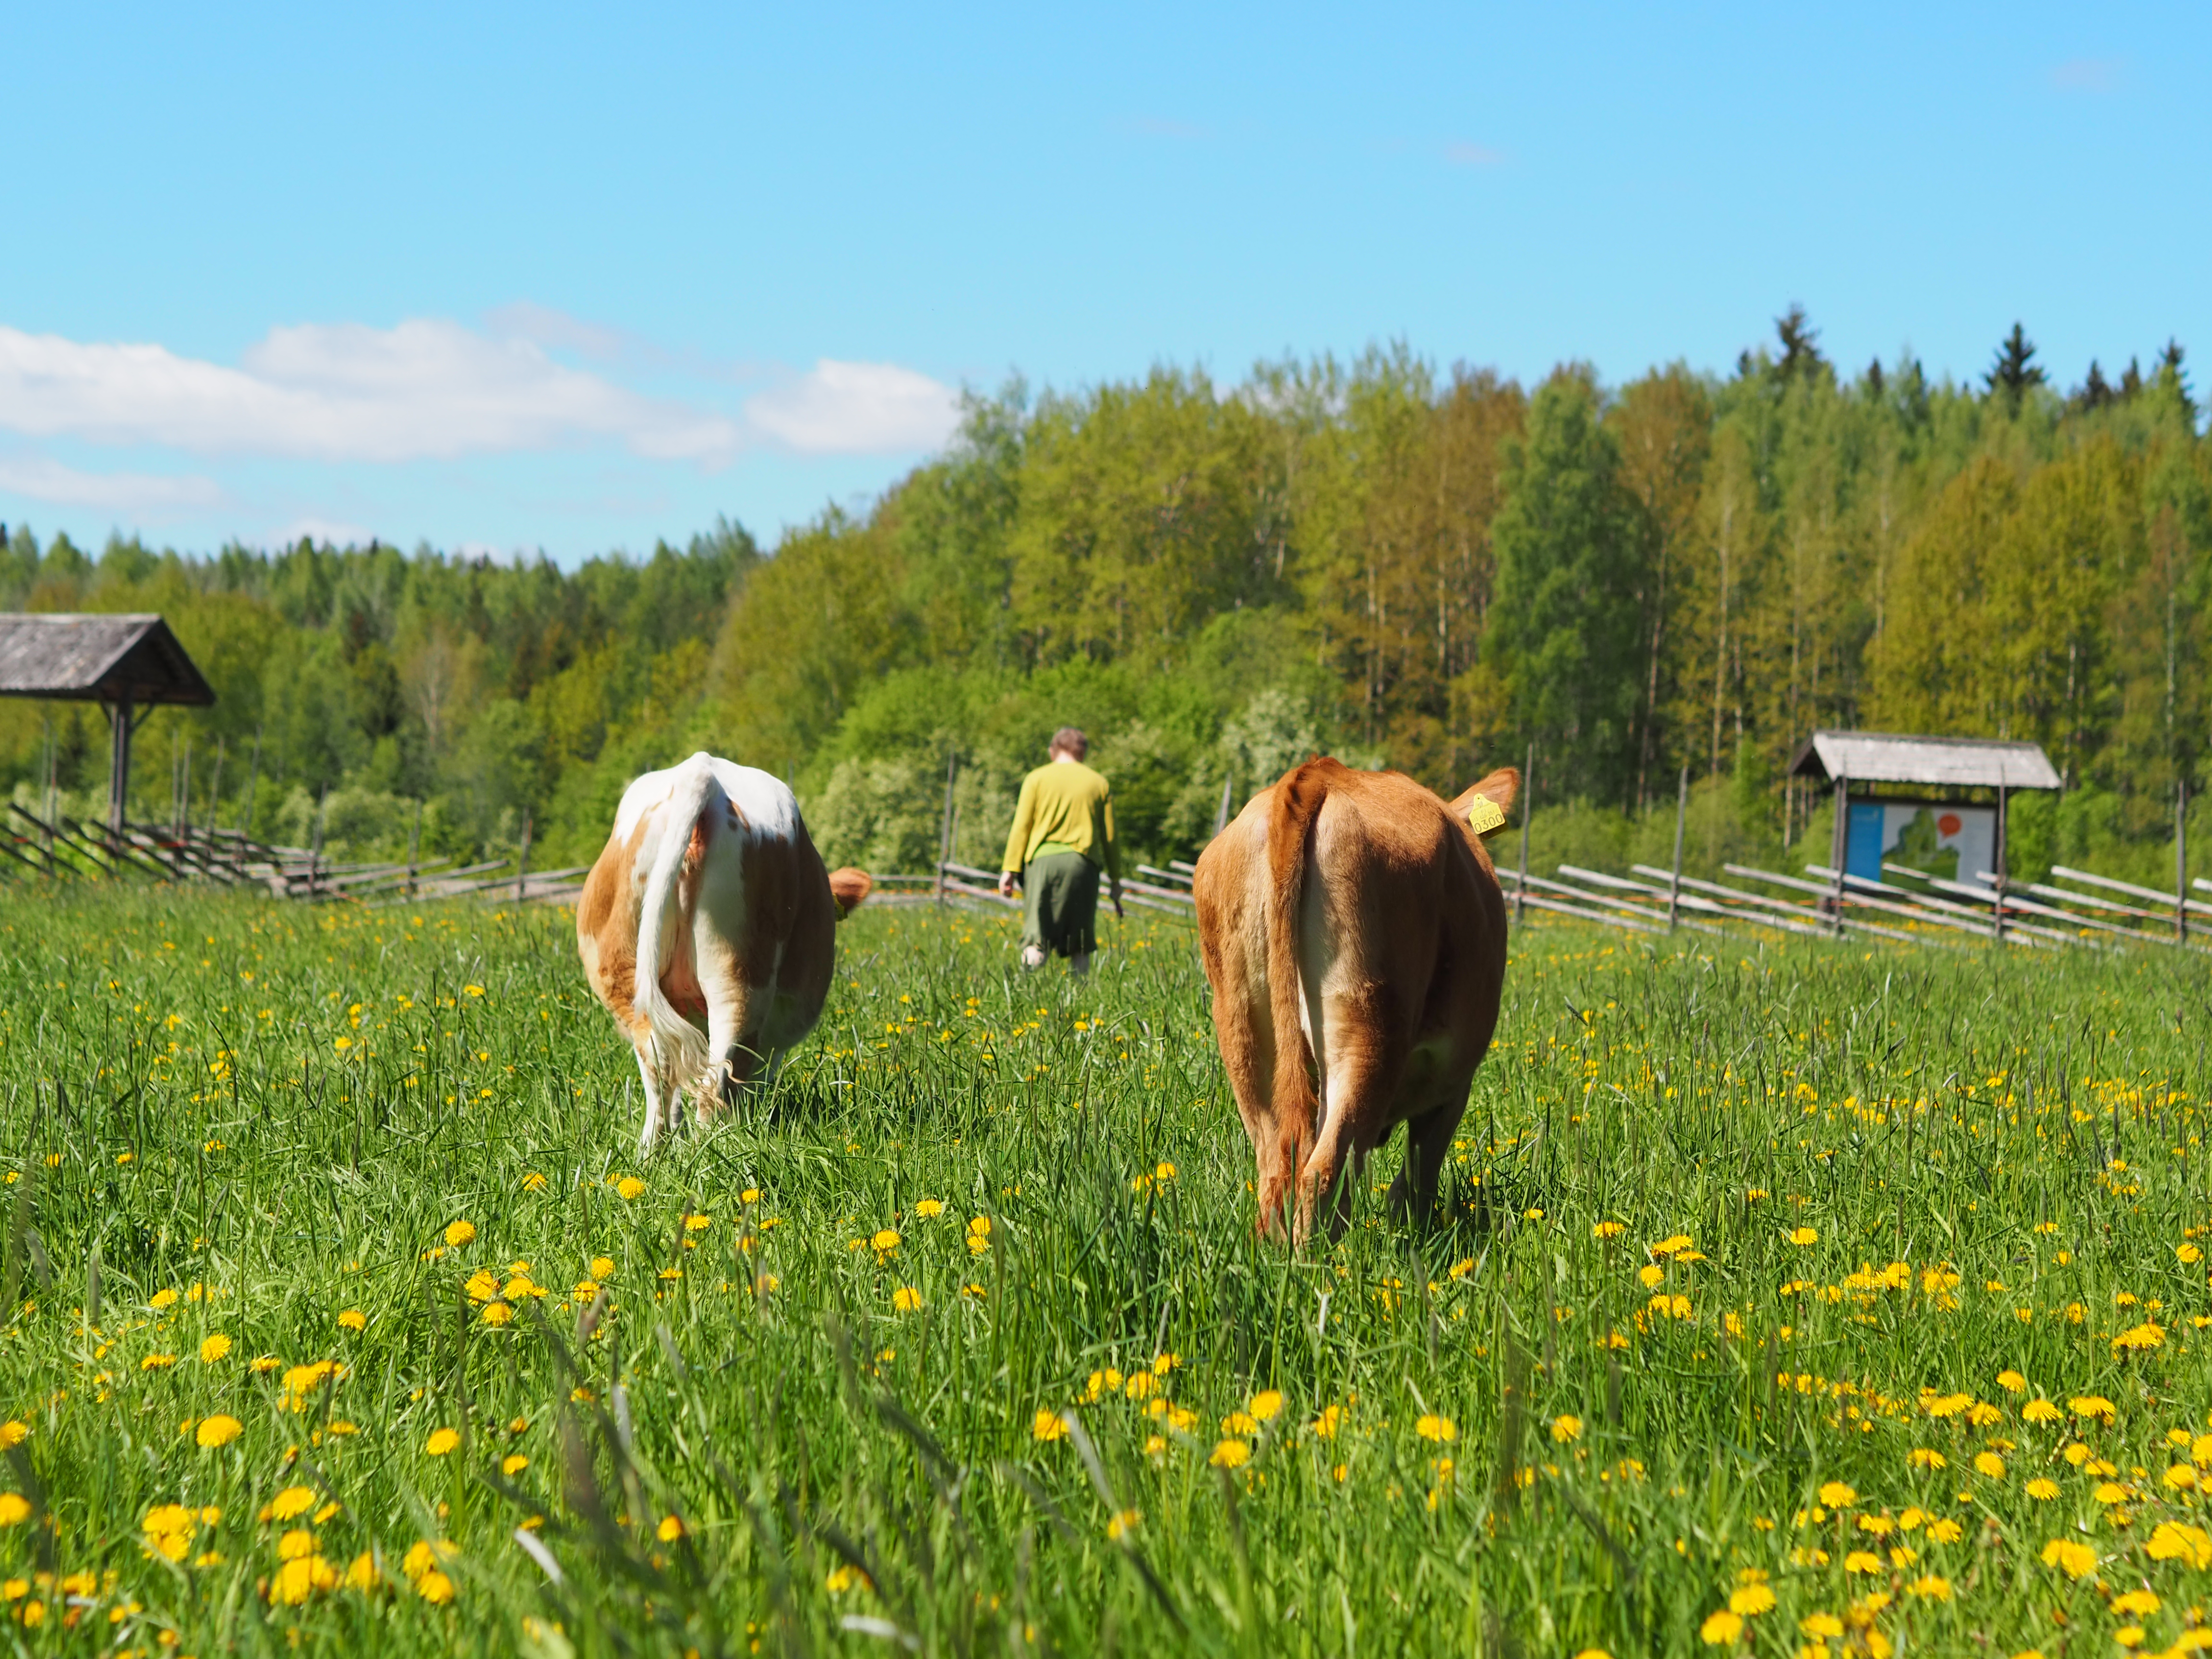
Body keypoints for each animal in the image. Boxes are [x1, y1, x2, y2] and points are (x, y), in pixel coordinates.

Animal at [575, 756, 867, 1159]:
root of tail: (701, 771)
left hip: (623, 973)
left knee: (660, 1071)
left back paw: (653, 1155)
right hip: (742, 979)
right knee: (718, 1080)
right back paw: (718, 1155)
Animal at [1194, 761, 1522, 1238]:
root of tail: (1319, 772)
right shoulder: (1452, 1086)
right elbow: (1415, 1184)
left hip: (1245, 1030)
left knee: (1276, 1167)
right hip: (1368, 1032)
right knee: (1324, 1172)